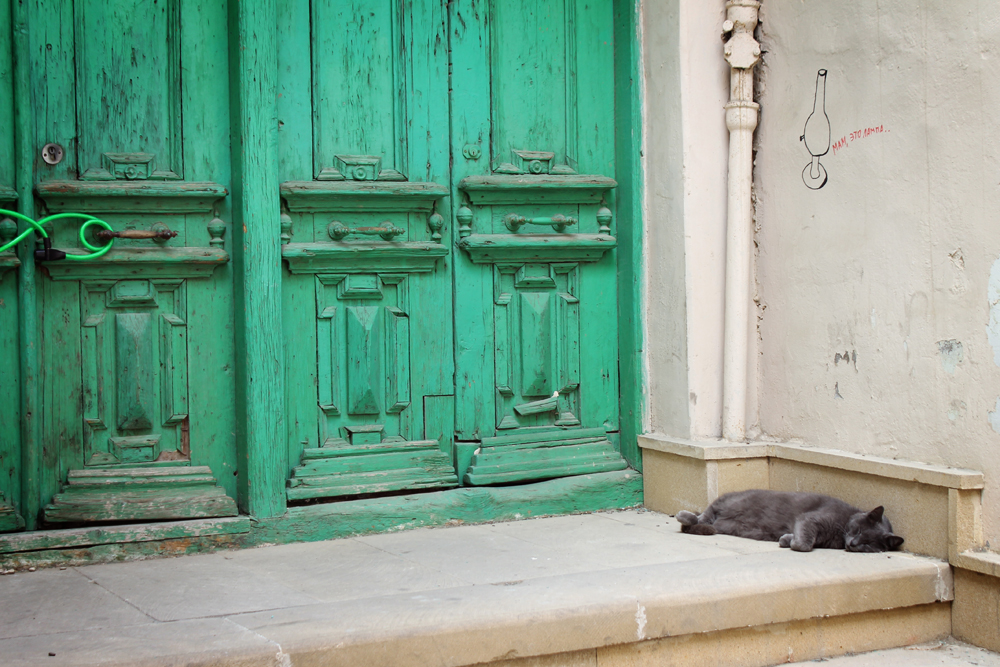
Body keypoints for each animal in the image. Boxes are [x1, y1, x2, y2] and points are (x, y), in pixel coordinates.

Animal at [676, 490, 904, 552]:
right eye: (858, 531)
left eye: (868, 544)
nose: (854, 544)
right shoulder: (811, 518)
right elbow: (806, 543)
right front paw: (793, 542)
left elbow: (808, 539)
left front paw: (786, 539)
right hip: (728, 501)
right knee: (704, 514)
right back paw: (684, 515)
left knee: (706, 522)